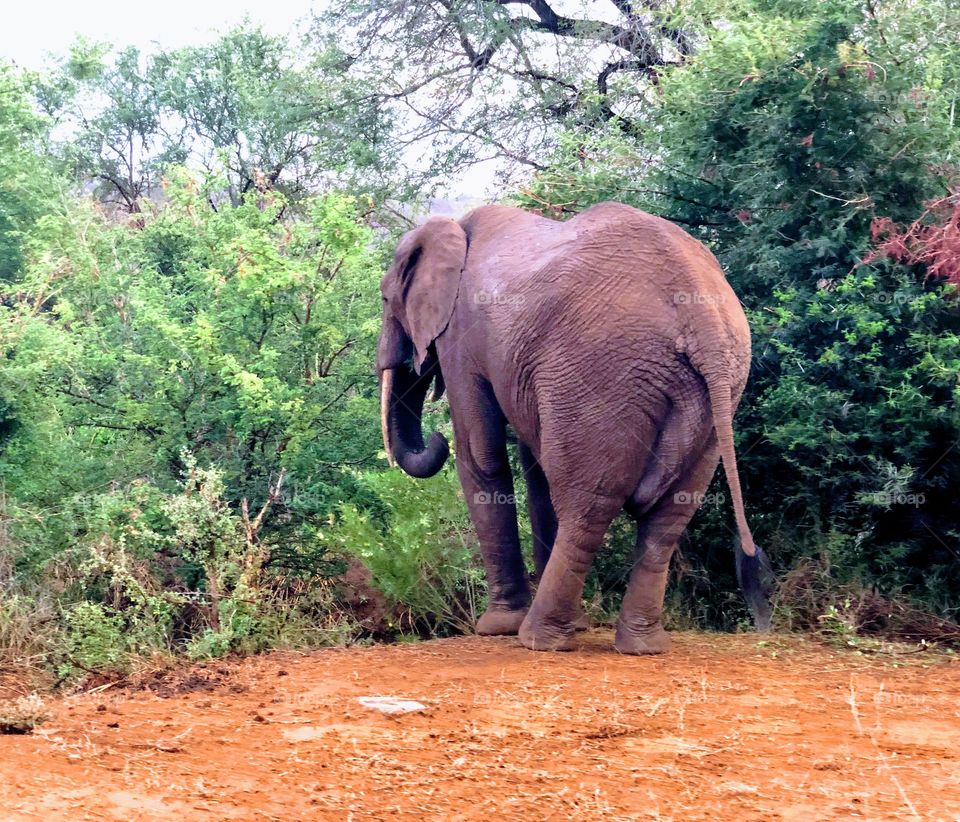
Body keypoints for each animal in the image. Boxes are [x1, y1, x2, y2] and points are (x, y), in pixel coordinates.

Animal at [377, 201, 772, 654]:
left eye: (385, 298)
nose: (435, 440)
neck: (455, 230)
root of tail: (701, 314)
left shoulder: (462, 335)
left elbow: (481, 453)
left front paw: (495, 627)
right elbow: (534, 470)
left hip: (604, 374)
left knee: (588, 504)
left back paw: (540, 639)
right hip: (716, 390)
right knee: (669, 513)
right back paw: (641, 646)